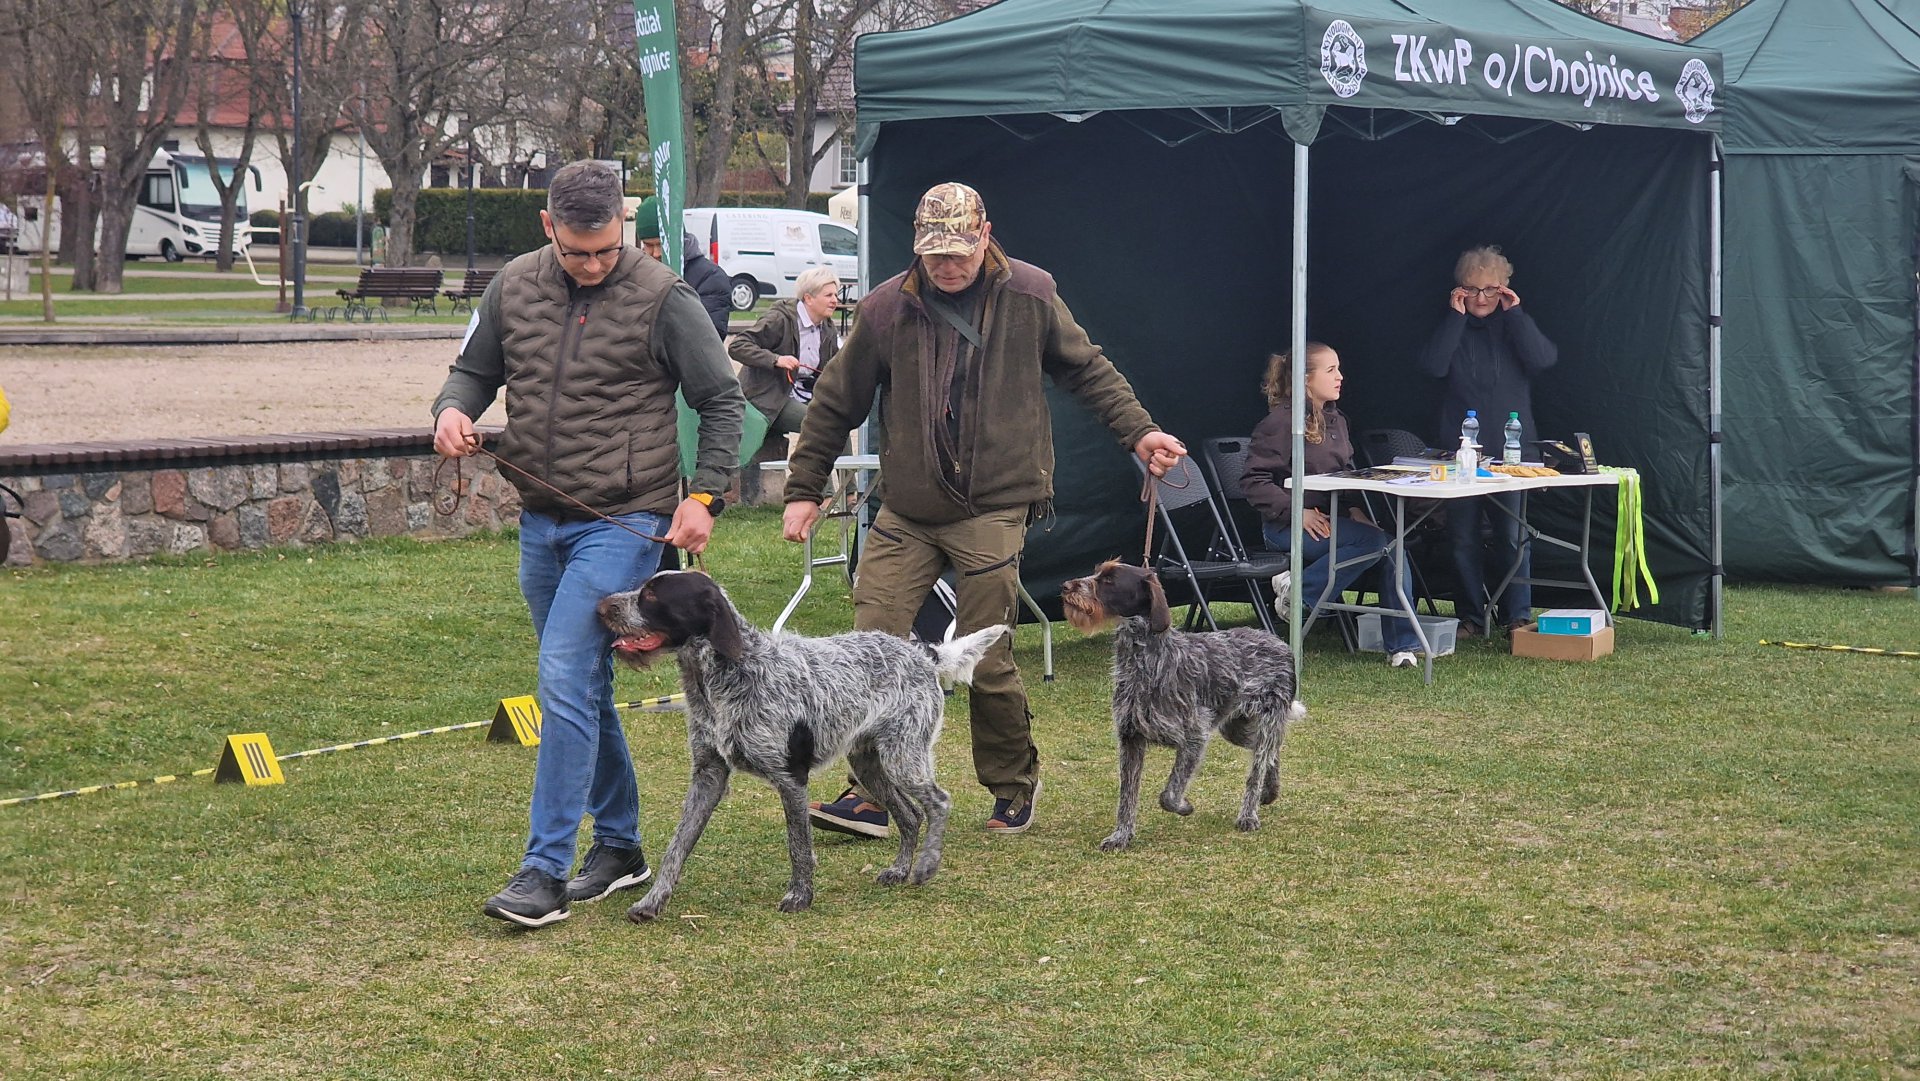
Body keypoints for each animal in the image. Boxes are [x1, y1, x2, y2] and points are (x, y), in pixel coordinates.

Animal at [597, 570, 1008, 917]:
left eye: (652, 594)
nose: (602, 607)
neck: (722, 678)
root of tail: (924, 653)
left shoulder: (790, 777)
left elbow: (798, 846)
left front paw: (800, 895)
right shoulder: (707, 776)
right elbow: (677, 846)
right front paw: (653, 901)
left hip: (903, 757)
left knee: (938, 802)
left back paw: (926, 865)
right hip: (868, 763)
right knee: (910, 815)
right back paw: (899, 869)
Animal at [1060, 560, 1305, 851]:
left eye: (1109, 580)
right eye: (1098, 572)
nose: (1066, 586)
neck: (1146, 660)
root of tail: (1279, 642)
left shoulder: (1194, 737)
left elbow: (1169, 794)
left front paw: (1183, 806)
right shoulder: (1131, 738)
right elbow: (1126, 796)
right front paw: (1121, 836)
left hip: (1267, 717)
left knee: (1257, 767)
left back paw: (1249, 814)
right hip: (1235, 728)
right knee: (1269, 751)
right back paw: (1270, 790)